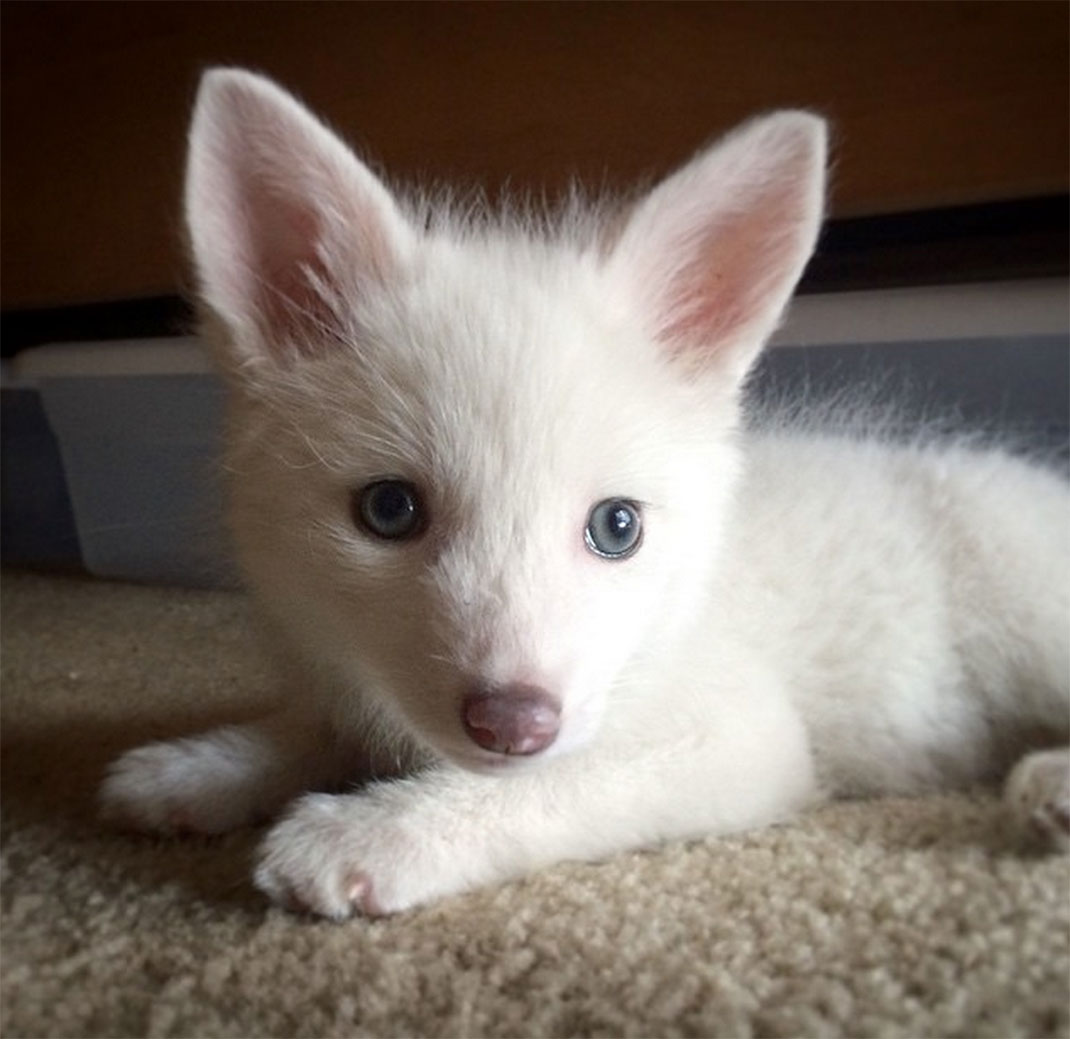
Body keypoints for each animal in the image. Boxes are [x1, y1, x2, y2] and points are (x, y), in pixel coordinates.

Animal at [100, 68, 1069, 919]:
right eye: (389, 510)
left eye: (618, 526)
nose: (511, 724)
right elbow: (315, 726)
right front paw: (199, 767)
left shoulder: (740, 733)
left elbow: (557, 784)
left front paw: (375, 833)